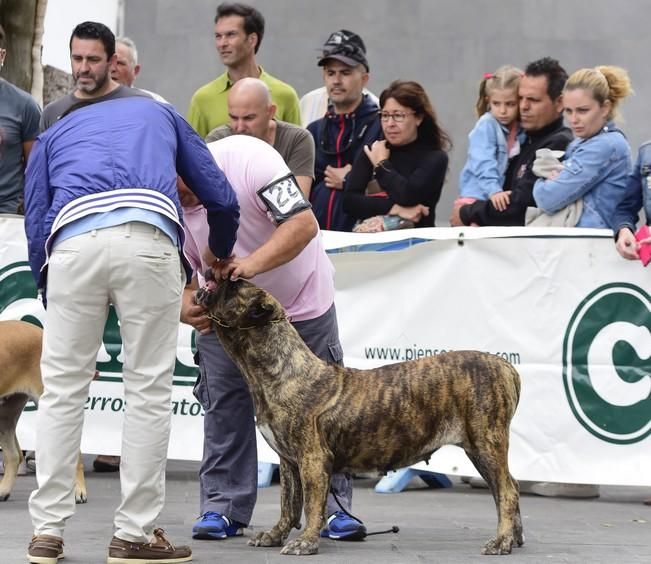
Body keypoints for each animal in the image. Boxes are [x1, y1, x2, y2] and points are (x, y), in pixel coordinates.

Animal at [197, 278, 524, 556]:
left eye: (233, 285)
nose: (211, 276)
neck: (281, 370)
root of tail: (505, 366)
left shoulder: (312, 459)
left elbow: (311, 506)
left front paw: (305, 542)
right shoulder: (289, 461)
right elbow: (288, 504)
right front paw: (275, 535)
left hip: (486, 442)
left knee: (506, 492)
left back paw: (500, 541)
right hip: (480, 450)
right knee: (508, 489)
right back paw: (514, 538)